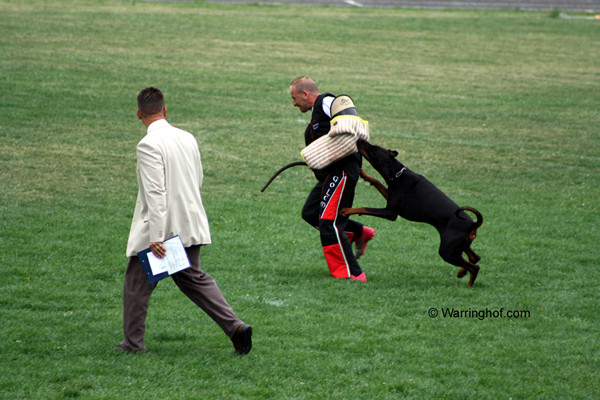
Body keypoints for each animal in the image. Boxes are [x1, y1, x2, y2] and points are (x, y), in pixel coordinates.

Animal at [342, 139, 482, 286]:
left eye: (373, 150)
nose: (359, 140)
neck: (397, 174)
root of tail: (473, 224)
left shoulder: (390, 213)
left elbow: (364, 208)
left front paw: (346, 210)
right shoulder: (389, 195)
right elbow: (376, 181)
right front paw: (364, 174)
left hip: (447, 251)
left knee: (475, 267)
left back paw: (468, 284)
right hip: (459, 245)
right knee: (475, 258)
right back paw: (462, 272)